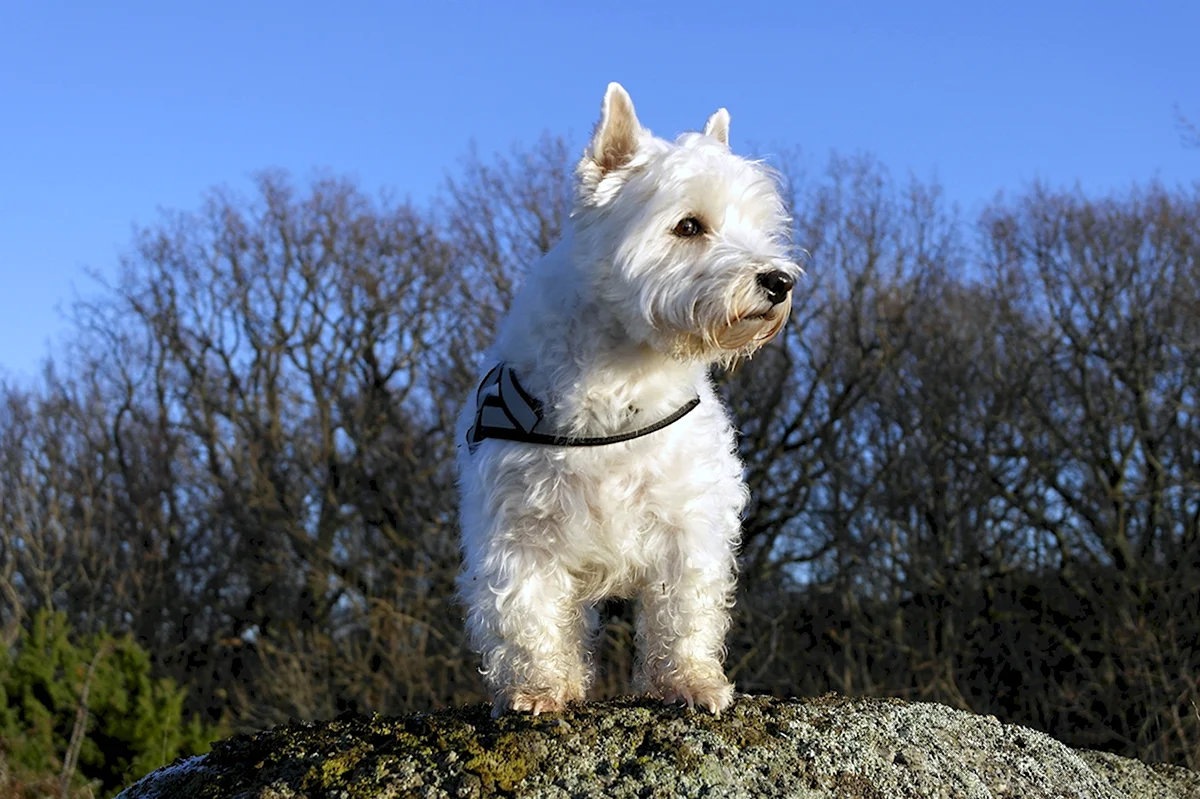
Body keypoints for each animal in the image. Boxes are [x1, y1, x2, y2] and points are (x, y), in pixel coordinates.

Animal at [453, 82, 801, 715]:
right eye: (688, 226)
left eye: (759, 226)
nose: (779, 281)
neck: (623, 378)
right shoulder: (520, 532)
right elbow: (527, 614)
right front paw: (539, 688)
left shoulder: (687, 525)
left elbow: (683, 613)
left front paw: (690, 682)